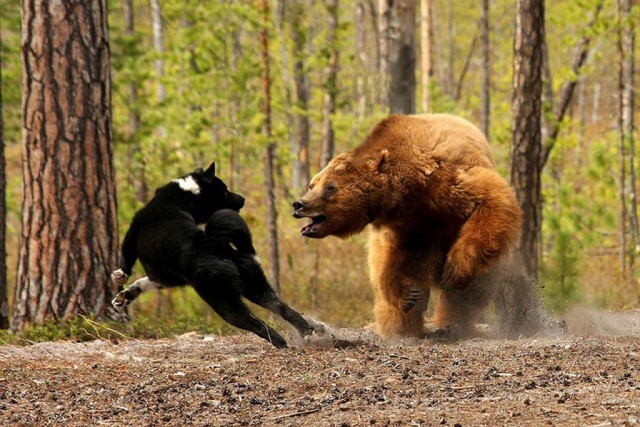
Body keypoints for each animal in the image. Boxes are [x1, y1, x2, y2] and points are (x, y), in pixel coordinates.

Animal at [293, 114, 524, 340]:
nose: (299, 204)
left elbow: (491, 199)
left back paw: (454, 324)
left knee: (472, 290)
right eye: (312, 184)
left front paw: (455, 269)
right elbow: (398, 262)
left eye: (330, 187)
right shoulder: (407, 228)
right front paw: (408, 296)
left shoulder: (444, 182)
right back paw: (401, 328)